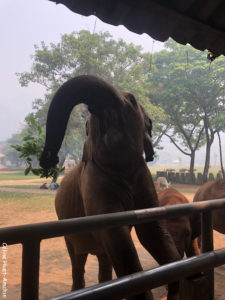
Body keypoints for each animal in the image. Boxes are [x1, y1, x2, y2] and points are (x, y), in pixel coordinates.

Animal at [40, 75, 181, 300]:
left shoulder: (144, 176)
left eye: (131, 99)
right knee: (77, 259)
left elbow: (152, 229)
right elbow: (118, 237)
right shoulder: (92, 180)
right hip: (67, 228)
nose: (47, 159)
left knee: (104, 258)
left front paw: (175, 281)